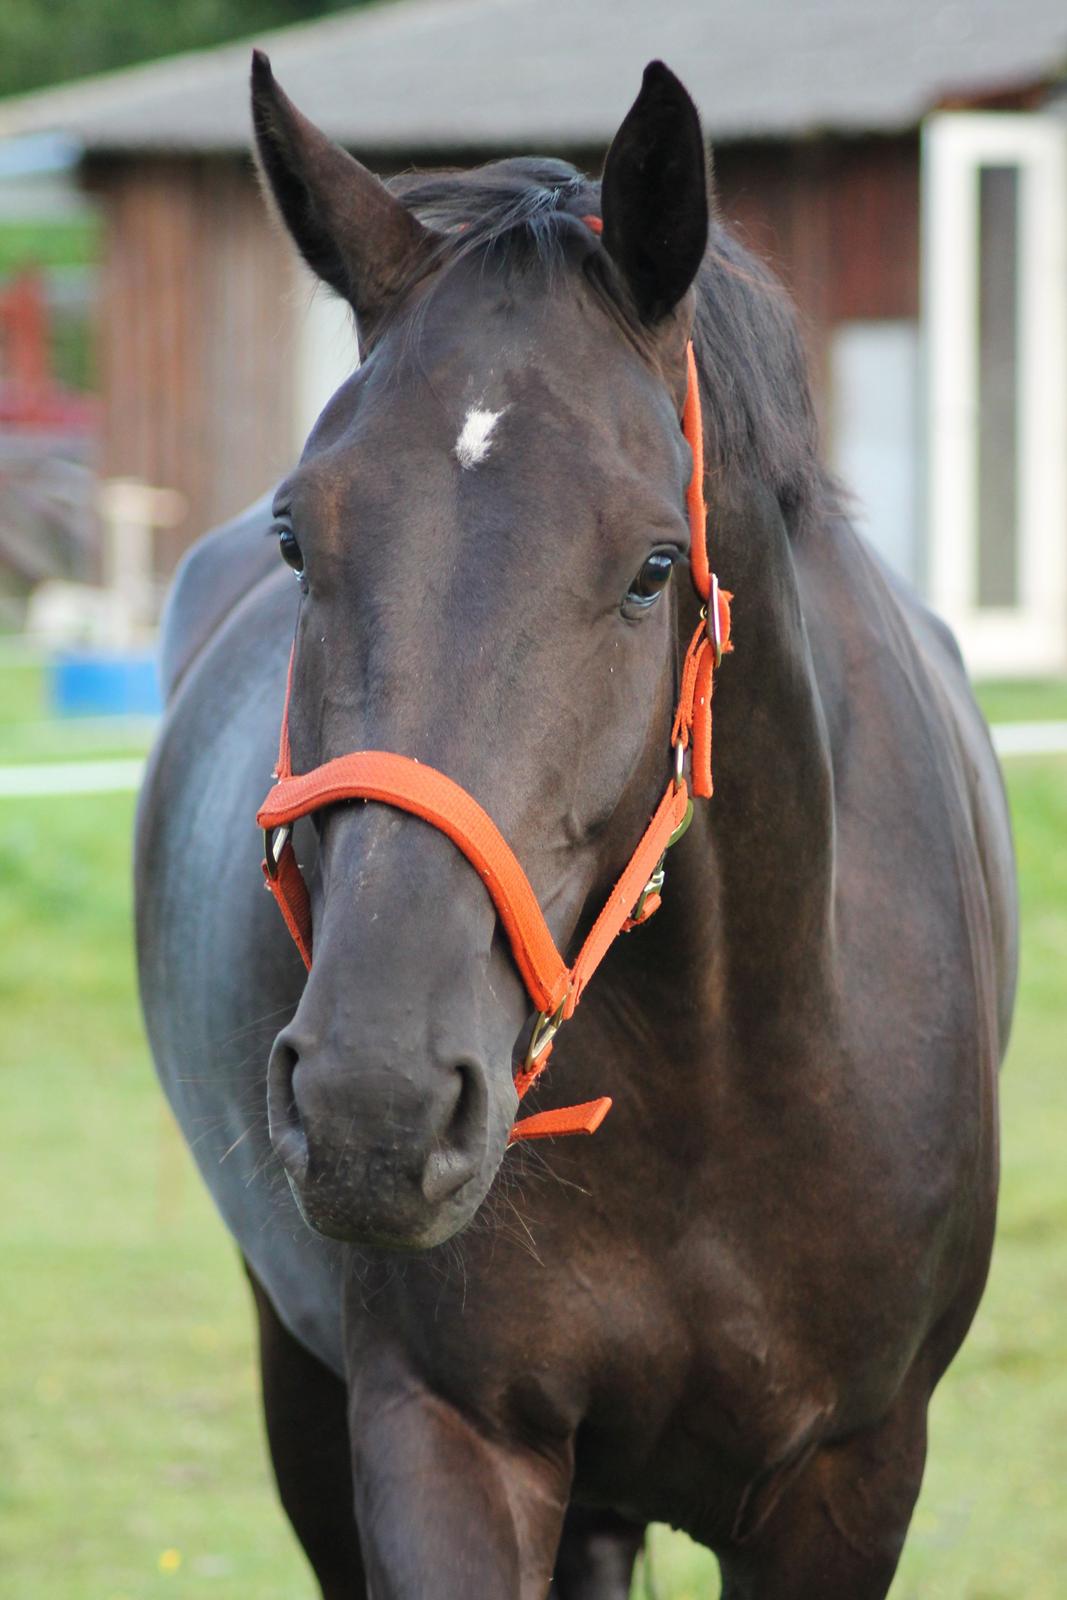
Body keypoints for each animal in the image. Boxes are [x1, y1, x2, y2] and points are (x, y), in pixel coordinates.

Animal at [137, 56, 1023, 1593]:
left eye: (652, 568)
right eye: (299, 538)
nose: (374, 1102)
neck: (716, 1074)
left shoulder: (847, 1478)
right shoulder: (445, 1439)